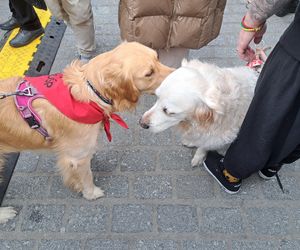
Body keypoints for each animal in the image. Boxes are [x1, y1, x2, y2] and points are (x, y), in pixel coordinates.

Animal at [0, 42, 171, 223]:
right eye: (149, 73)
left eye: (158, 57)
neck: (91, 91)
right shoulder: (78, 157)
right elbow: (87, 176)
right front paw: (91, 193)